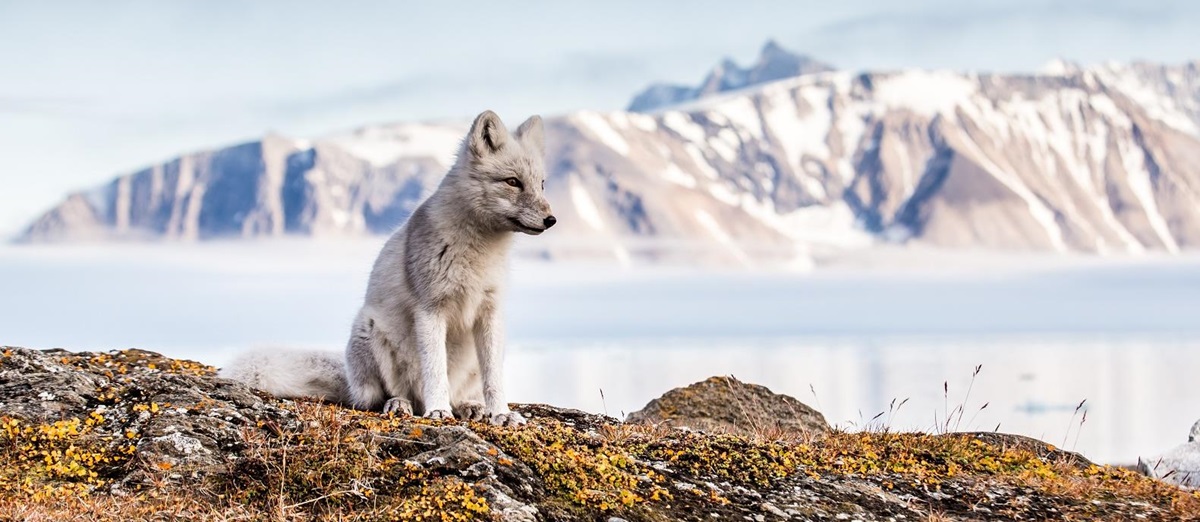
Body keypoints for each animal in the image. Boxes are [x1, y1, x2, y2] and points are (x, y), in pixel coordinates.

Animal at [221, 110, 555, 426]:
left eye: (541, 184)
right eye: (512, 182)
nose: (551, 220)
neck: (480, 251)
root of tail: (350, 378)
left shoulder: (490, 311)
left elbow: (494, 379)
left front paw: (502, 414)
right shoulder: (430, 310)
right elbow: (435, 371)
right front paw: (438, 411)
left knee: (461, 392)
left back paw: (469, 406)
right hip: (371, 333)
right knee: (380, 397)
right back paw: (402, 405)